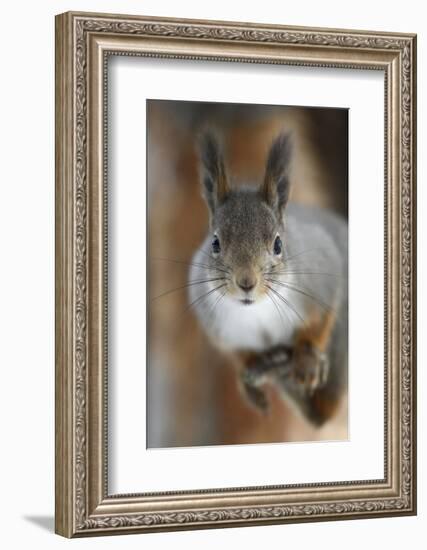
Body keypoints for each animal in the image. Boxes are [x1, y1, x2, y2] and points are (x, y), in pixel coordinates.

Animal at [189, 129, 350, 426]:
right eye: (215, 243)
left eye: (278, 244)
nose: (246, 283)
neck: (257, 311)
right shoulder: (219, 328)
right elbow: (240, 355)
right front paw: (250, 376)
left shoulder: (321, 281)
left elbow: (319, 323)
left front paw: (307, 360)